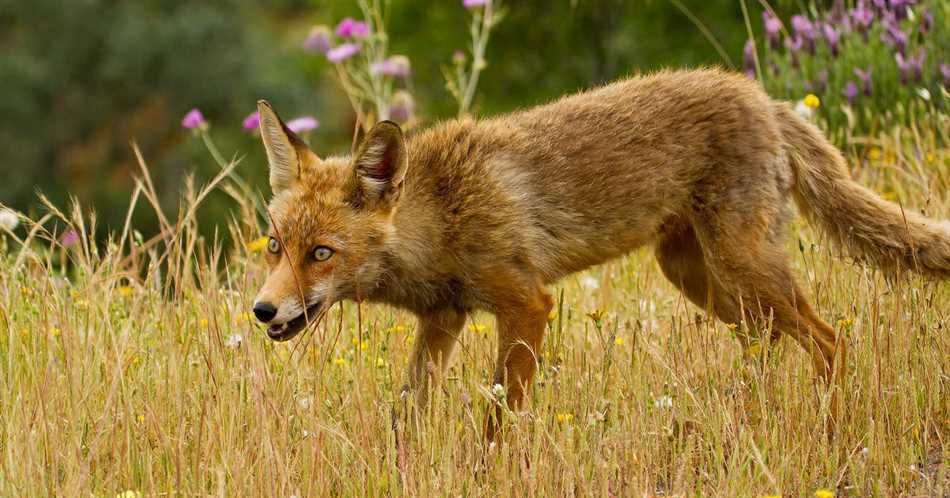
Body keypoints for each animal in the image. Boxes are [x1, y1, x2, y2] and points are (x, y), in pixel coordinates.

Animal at [251, 68, 950, 434]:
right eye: (276, 246)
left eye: (321, 253)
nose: (260, 311)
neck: (440, 216)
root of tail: (761, 95)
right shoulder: (442, 319)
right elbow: (409, 414)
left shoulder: (527, 302)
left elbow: (500, 417)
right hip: (700, 277)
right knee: (768, 341)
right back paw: (752, 412)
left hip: (742, 267)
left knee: (829, 340)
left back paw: (830, 425)